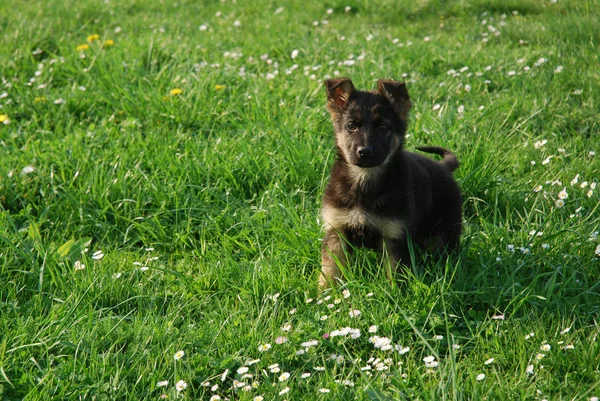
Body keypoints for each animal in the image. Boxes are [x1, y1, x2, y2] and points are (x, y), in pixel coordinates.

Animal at [322, 77, 462, 288]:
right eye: (351, 126)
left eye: (383, 127)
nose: (364, 152)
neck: (364, 181)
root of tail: (443, 168)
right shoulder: (336, 230)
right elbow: (330, 269)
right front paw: (326, 293)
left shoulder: (395, 236)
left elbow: (395, 274)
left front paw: (394, 293)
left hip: (445, 231)